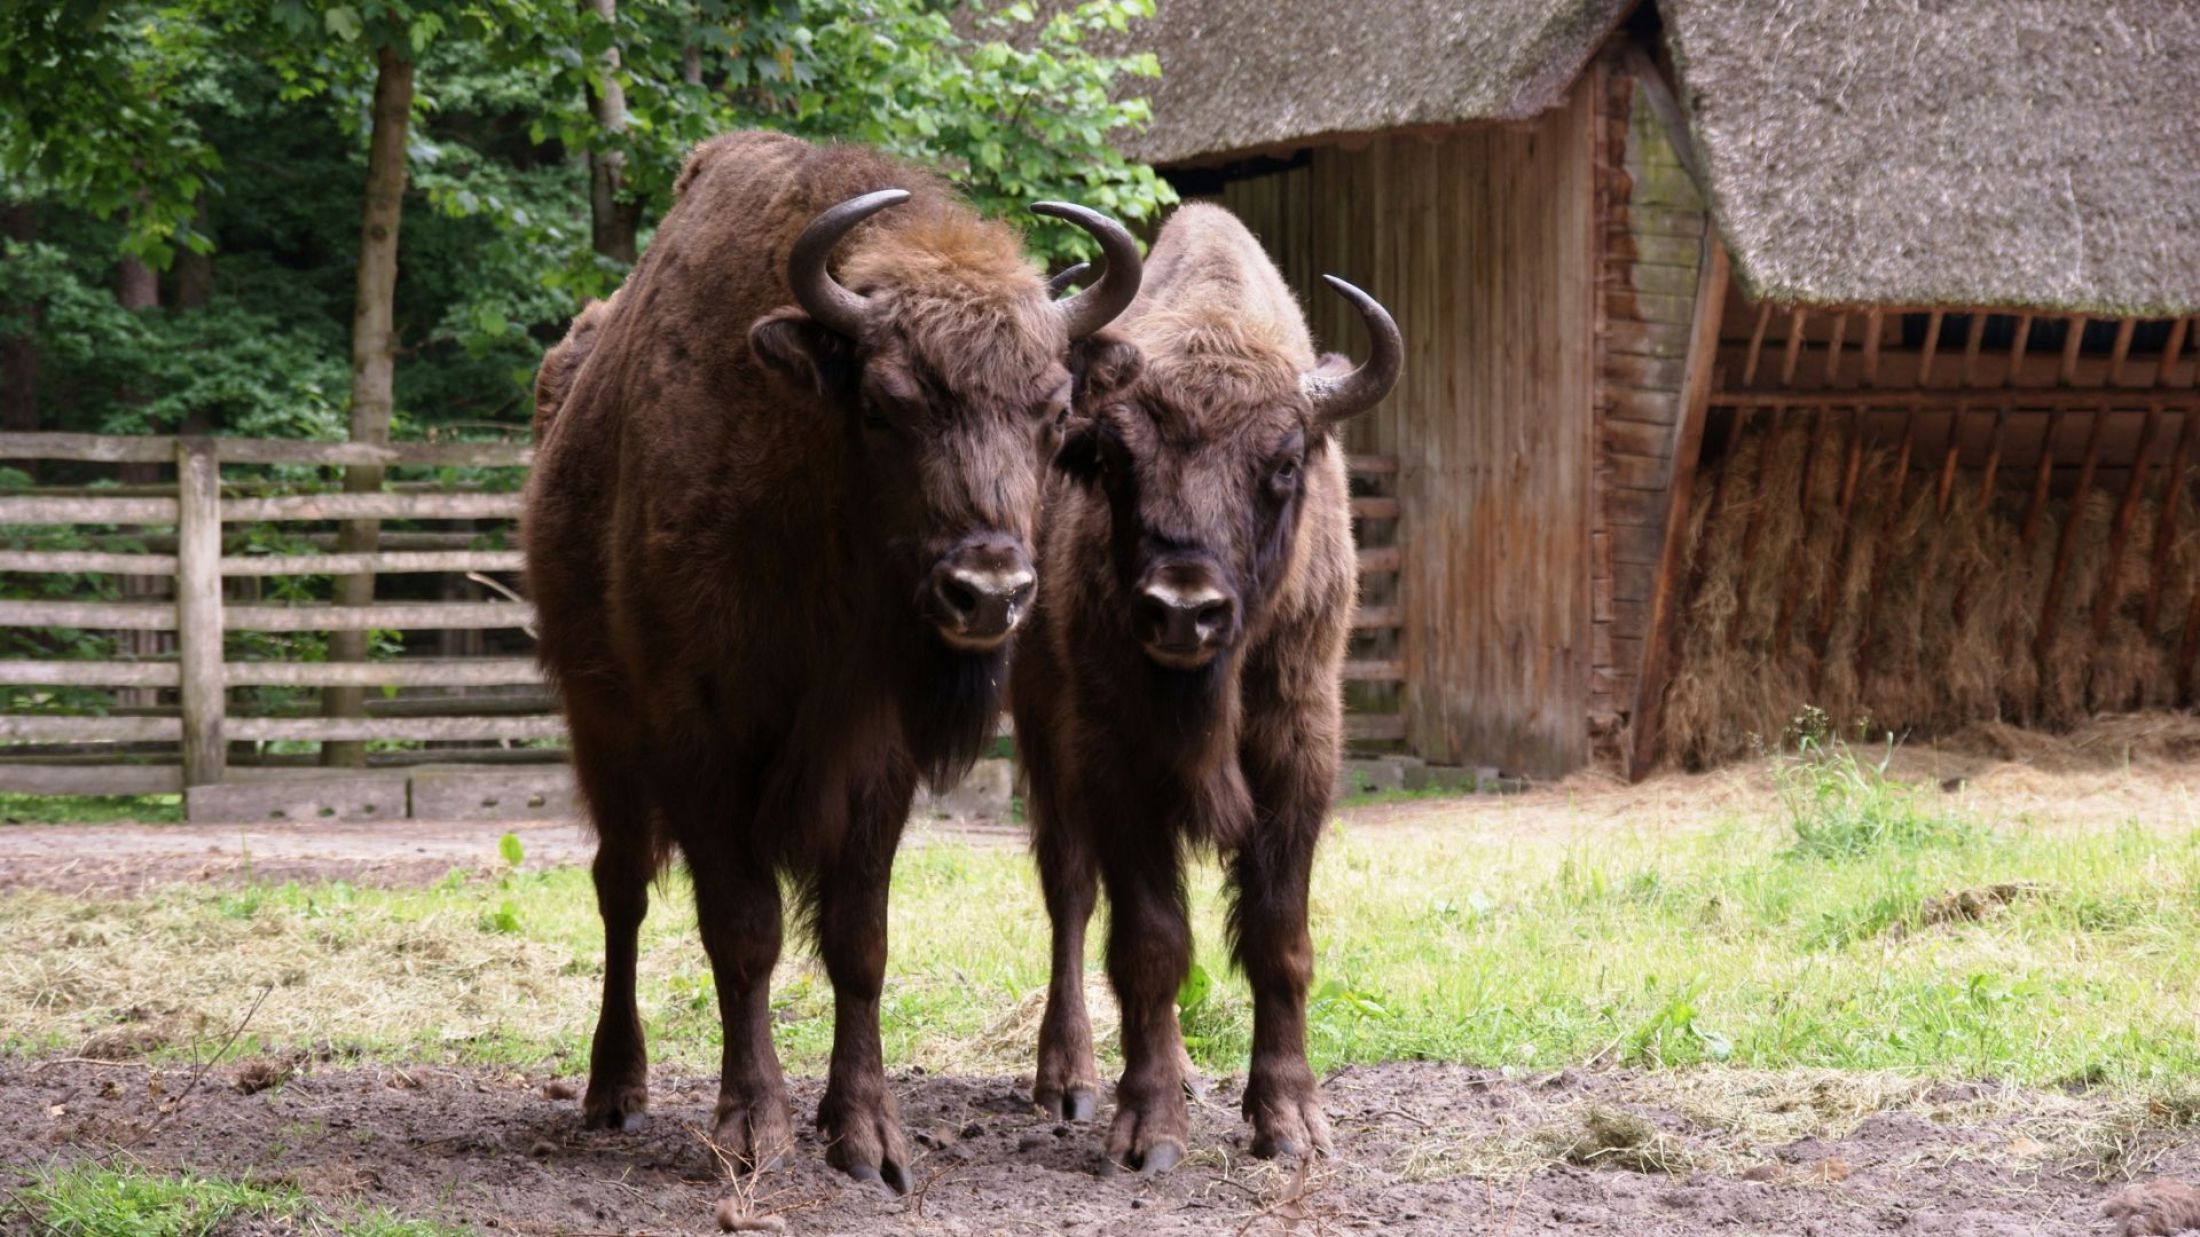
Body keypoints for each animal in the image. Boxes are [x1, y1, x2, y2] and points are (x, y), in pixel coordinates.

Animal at [523, 129, 1144, 1188]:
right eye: (887, 405)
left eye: (1055, 412)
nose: (988, 591)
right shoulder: (699, 740)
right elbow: (743, 932)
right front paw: (753, 1128)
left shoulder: (876, 761)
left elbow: (859, 941)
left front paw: (867, 1137)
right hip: (600, 727)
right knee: (620, 892)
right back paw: (615, 1091)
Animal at [1007, 200, 1399, 1162]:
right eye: (1115, 459)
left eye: (1285, 463)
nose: (1185, 609)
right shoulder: (1114, 757)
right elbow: (1149, 938)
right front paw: (1147, 1127)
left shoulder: (1298, 749)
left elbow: (1278, 936)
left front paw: (1290, 1122)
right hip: (1042, 736)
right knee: (1070, 894)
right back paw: (1069, 1077)